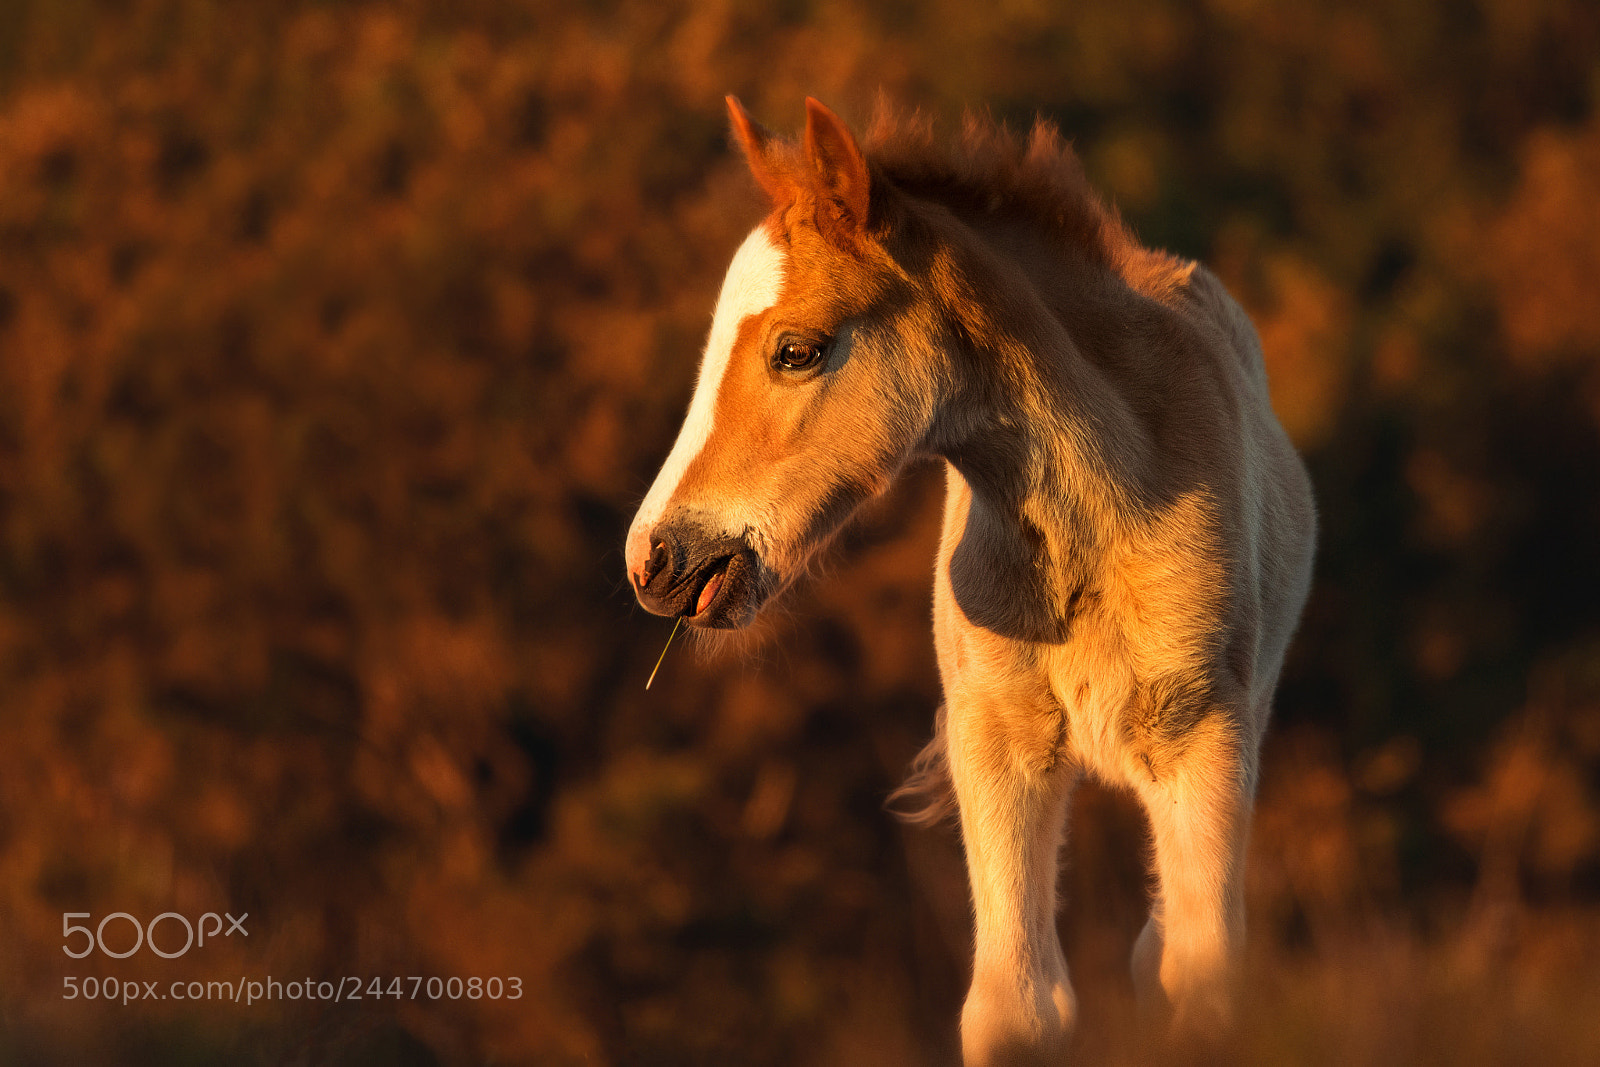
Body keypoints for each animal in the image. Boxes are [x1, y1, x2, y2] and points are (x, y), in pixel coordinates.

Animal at [625, 96, 1316, 1064]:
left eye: (797, 349)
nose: (655, 560)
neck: (1103, 513)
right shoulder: (997, 745)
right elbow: (1017, 1007)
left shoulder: (1203, 741)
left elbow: (1205, 983)